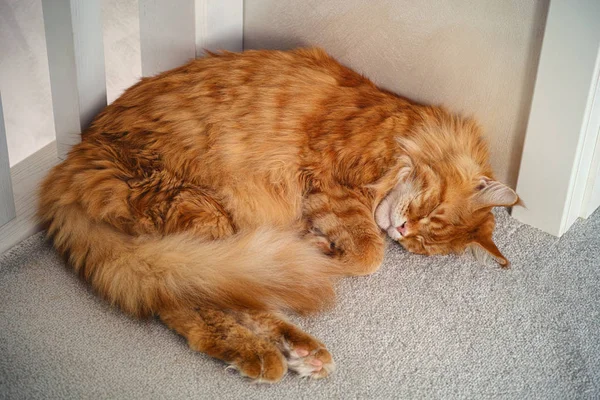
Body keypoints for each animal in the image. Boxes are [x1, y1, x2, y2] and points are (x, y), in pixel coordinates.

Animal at [37, 48, 516, 382]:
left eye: (421, 243)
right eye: (428, 212)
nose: (401, 229)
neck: (405, 127)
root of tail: (69, 166)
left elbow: (361, 248)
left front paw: (319, 242)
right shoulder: (330, 181)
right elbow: (368, 256)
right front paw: (327, 250)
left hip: (211, 242)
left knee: (219, 301)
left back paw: (300, 352)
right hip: (197, 216)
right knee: (189, 306)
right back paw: (264, 354)